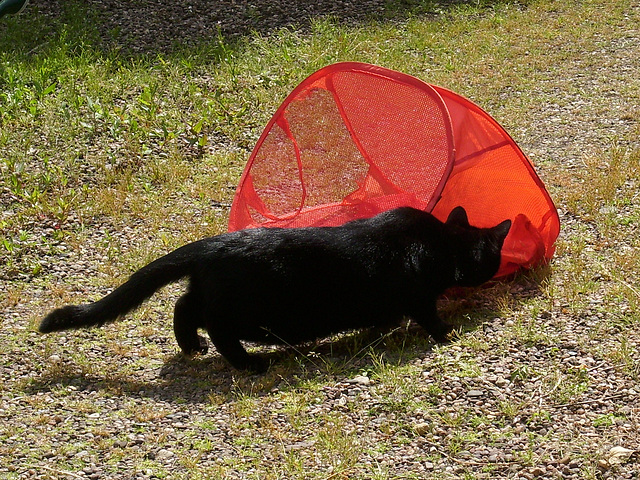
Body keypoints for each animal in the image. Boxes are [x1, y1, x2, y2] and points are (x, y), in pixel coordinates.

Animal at [40, 206, 510, 372]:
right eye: (494, 255)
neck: (441, 243)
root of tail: (212, 243)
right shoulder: (418, 296)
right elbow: (429, 317)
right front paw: (448, 334)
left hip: (210, 292)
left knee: (182, 306)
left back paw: (191, 347)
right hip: (241, 312)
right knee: (213, 325)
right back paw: (248, 363)